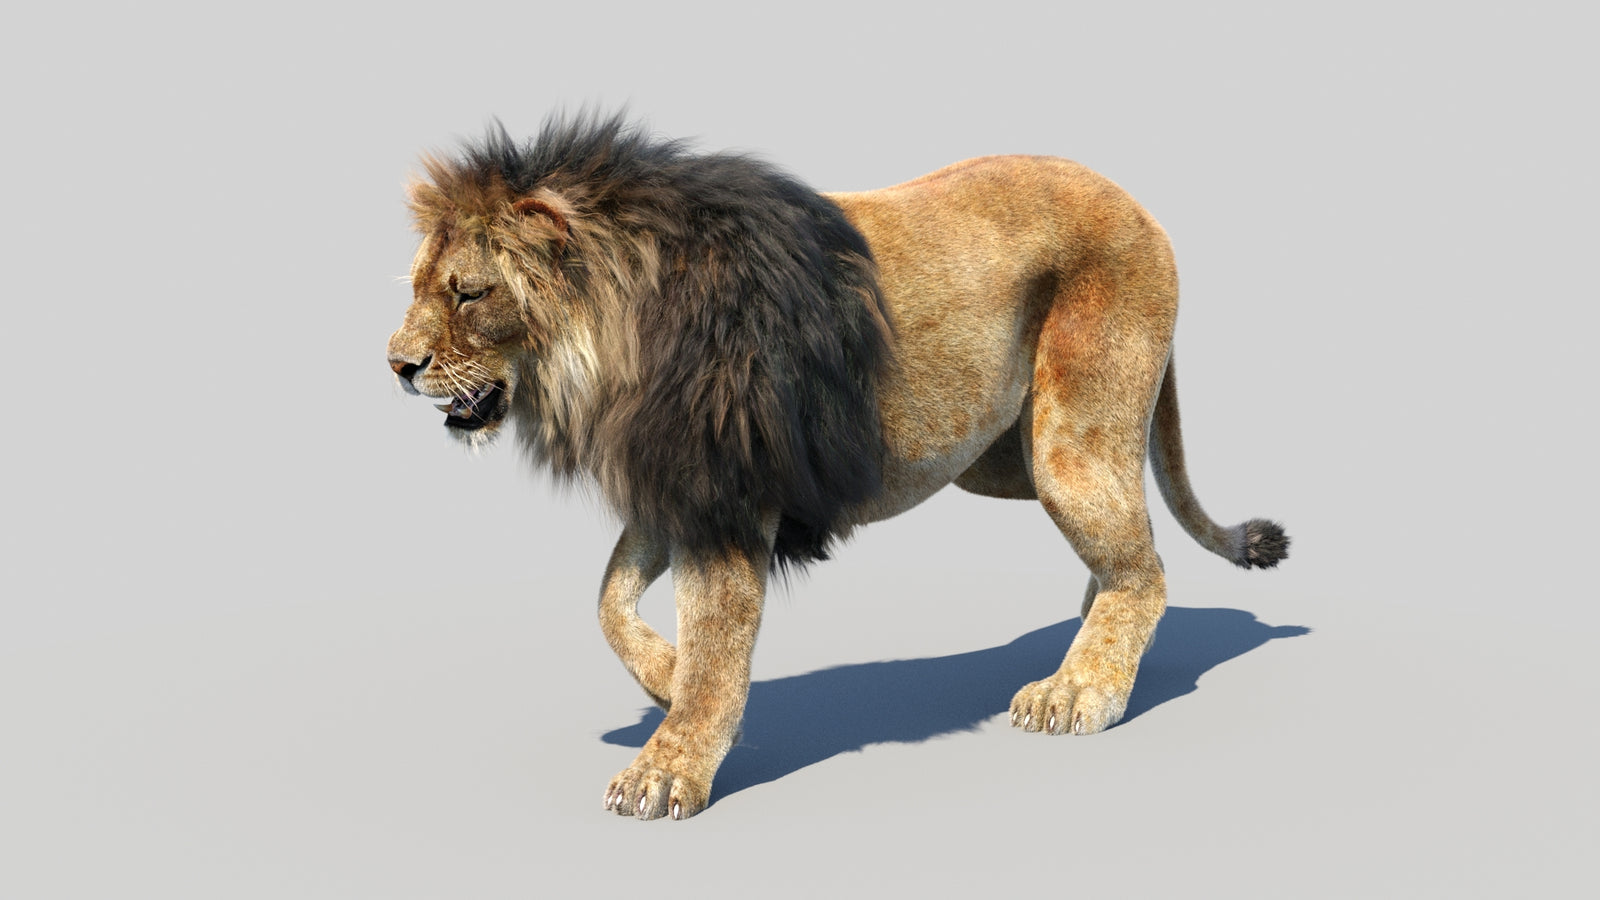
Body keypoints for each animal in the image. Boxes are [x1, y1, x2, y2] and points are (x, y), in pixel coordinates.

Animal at [387, 113, 1289, 821]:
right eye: (422, 285)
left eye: (468, 293)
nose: (395, 364)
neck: (604, 354)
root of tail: (1135, 202)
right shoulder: (675, 482)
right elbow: (608, 601)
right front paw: (667, 678)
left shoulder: (724, 496)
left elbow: (716, 636)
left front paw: (669, 765)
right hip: (1007, 455)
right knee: (1127, 542)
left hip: (1071, 438)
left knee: (1145, 568)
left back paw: (1082, 687)